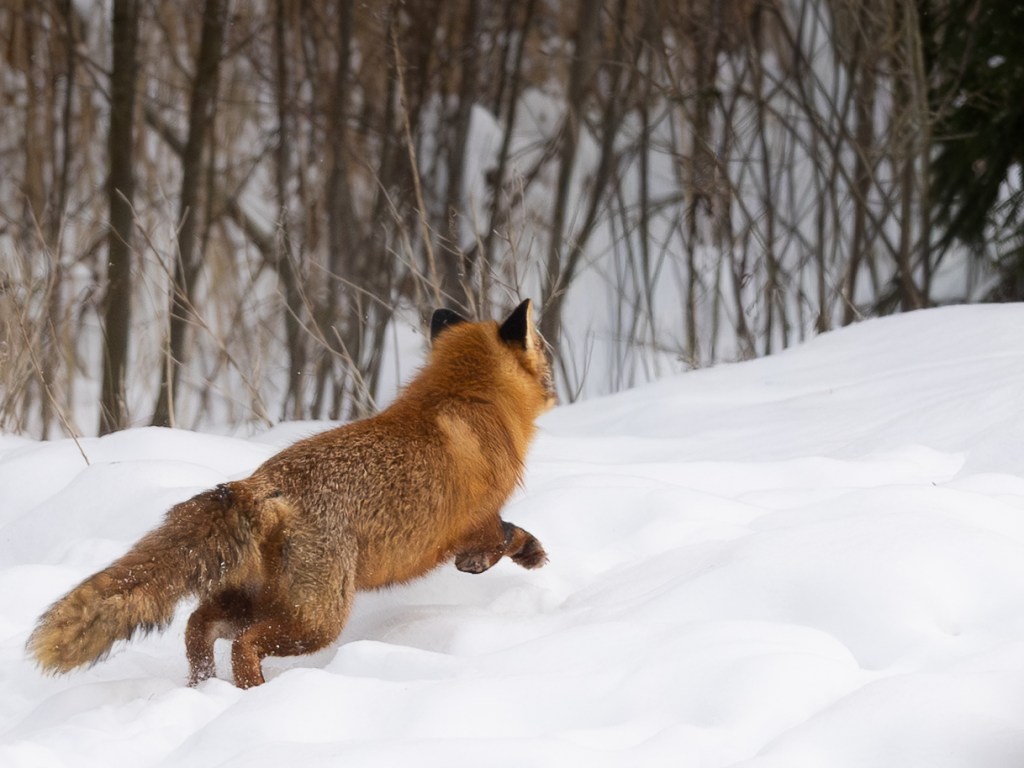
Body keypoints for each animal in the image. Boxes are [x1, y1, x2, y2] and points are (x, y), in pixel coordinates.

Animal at [28, 299, 555, 688]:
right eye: (545, 349)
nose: (555, 386)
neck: (466, 398)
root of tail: (261, 484)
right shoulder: (476, 519)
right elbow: (505, 534)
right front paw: (524, 555)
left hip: (257, 604)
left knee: (198, 628)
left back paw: (204, 690)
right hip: (317, 620)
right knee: (244, 646)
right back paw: (252, 696)